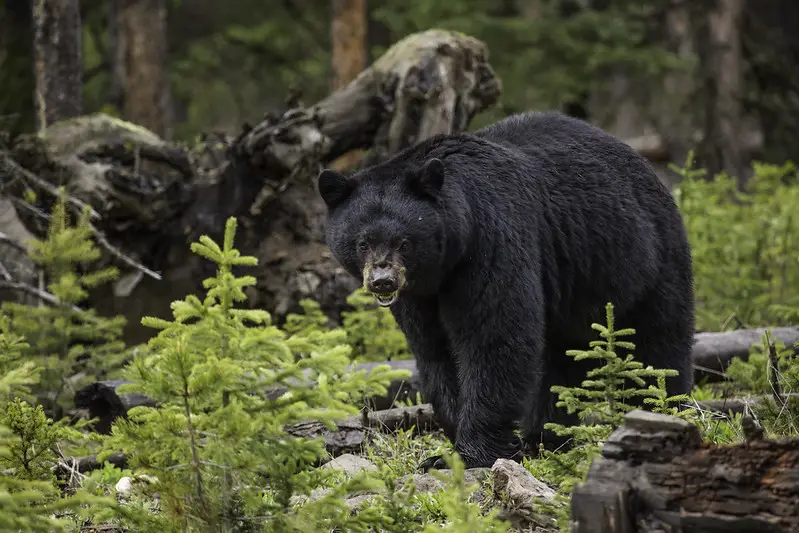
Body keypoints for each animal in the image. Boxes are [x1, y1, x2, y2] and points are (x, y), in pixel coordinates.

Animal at [318, 111, 692, 470]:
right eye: (363, 242)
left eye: (404, 242)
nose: (383, 281)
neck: (448, 258)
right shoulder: (420, 295)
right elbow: (435, 350)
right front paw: (451, 440)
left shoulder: (491, 239)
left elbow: (495, 336)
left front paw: (470, 454)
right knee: (562, 359)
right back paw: (546, 437)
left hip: (645, 260)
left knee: (657, 345)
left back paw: (662, 410)